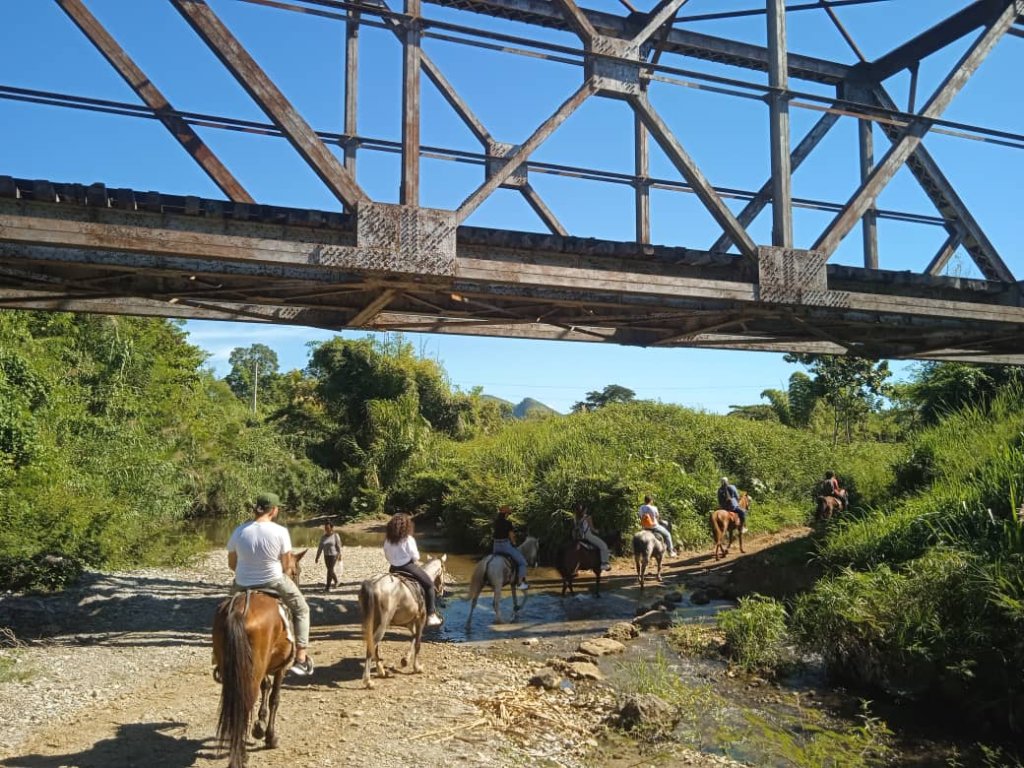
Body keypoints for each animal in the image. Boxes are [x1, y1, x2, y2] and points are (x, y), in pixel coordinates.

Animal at [207, 548, 303, 765]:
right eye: (296, 572)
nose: (296, 579)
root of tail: (238, 612)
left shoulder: (264, 666)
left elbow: (265, 686)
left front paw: (259, 725)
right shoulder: (281, 667)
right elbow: (275, 697)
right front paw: (270, 736)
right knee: (245, 702)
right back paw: (241, 753)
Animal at [360, 557, 444, 688]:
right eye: (442, 571)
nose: (441, 591)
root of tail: (374, 583)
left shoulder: (409, 622)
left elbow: (413, 636)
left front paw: (405, 660)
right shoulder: (420, 620)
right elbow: (418, 643)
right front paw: (417, 668)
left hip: (373, 622)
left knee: (374, 646)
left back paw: (381, 671)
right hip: (382, 623)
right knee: (372, 645)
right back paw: (368, 681)